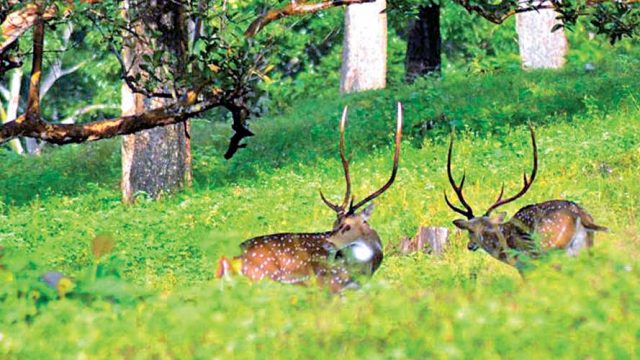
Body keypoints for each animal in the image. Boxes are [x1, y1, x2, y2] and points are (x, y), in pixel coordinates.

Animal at [218, 102, 402, 292]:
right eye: (336, 224)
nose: (328, 243)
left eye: (347, 226)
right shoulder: (333, 283)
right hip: (263, 278)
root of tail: (227, 261)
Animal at [442, 125, 608, 268]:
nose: (470, 245)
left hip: (552, 248)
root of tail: (582, 215)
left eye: (470, 230)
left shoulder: (524, 264)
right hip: (586, 246)